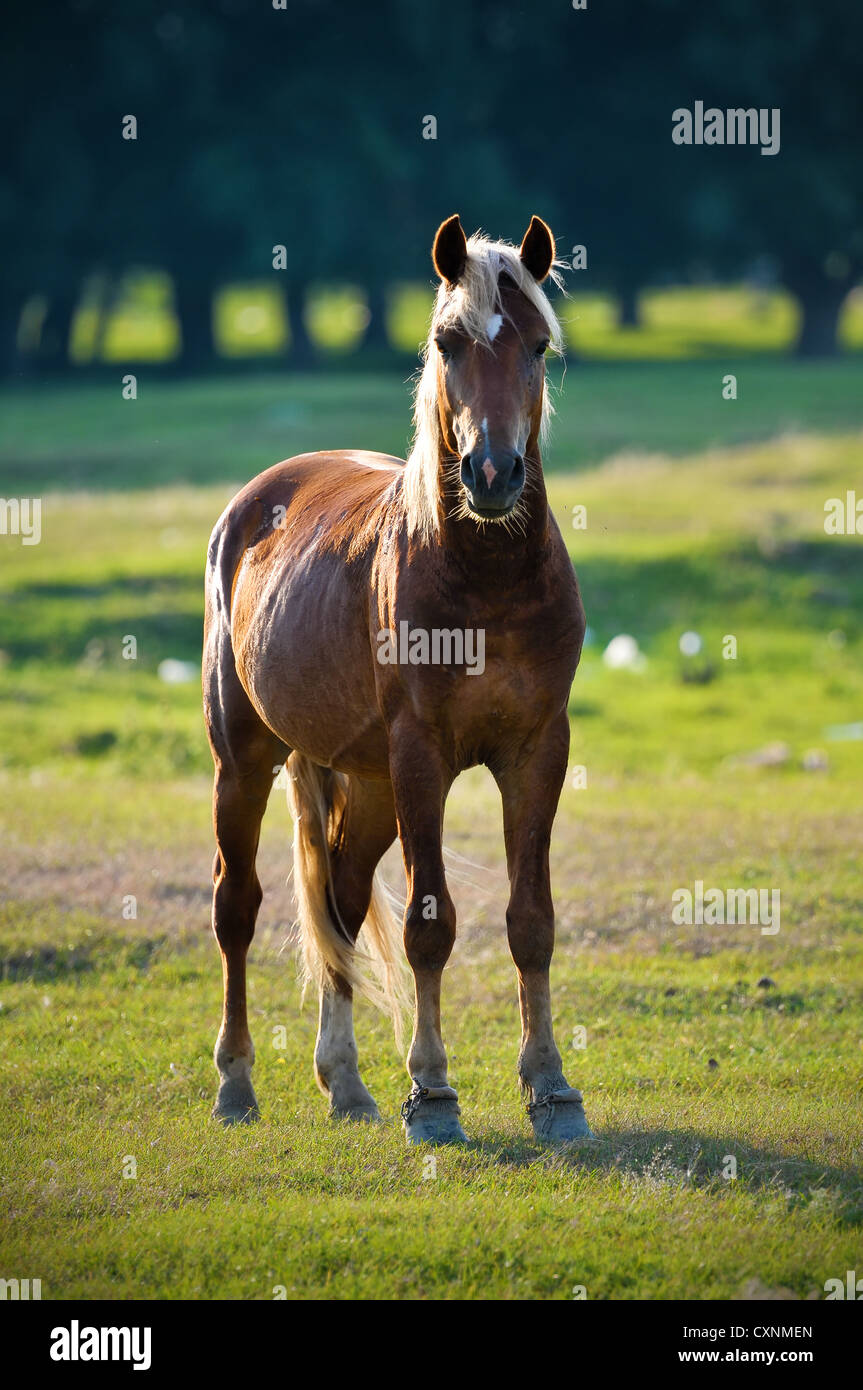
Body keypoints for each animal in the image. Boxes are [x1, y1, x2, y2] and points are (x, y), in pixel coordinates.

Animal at [204, 214, 592, 1139]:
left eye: (537, 346)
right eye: (449, 342)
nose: (492, 474)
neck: (486, 580)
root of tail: (254, 501)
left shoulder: (537, 750)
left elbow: (531, 920)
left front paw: (552, 1088)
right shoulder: (423, 757)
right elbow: (429, 925)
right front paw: (434, 1092)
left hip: (368, 783)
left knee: (339, 903)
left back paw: (344, 1084)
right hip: (244, 761)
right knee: (237, 911)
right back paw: (235, 1084)